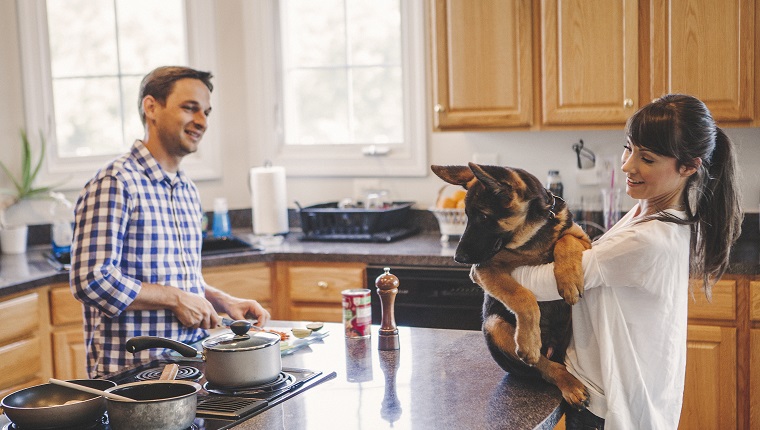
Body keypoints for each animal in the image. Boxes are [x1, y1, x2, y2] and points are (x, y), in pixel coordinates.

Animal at [434, 163, 588, 408]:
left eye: (483, 217)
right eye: (466, 216)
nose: (457, 258)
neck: (531, 235)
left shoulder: (586, 241)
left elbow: (565, 240)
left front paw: (569, 280)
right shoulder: (483, 270)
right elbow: (522, 296)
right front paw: (528, 338)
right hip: (494, 326)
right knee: (545, 367)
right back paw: (567, 382)